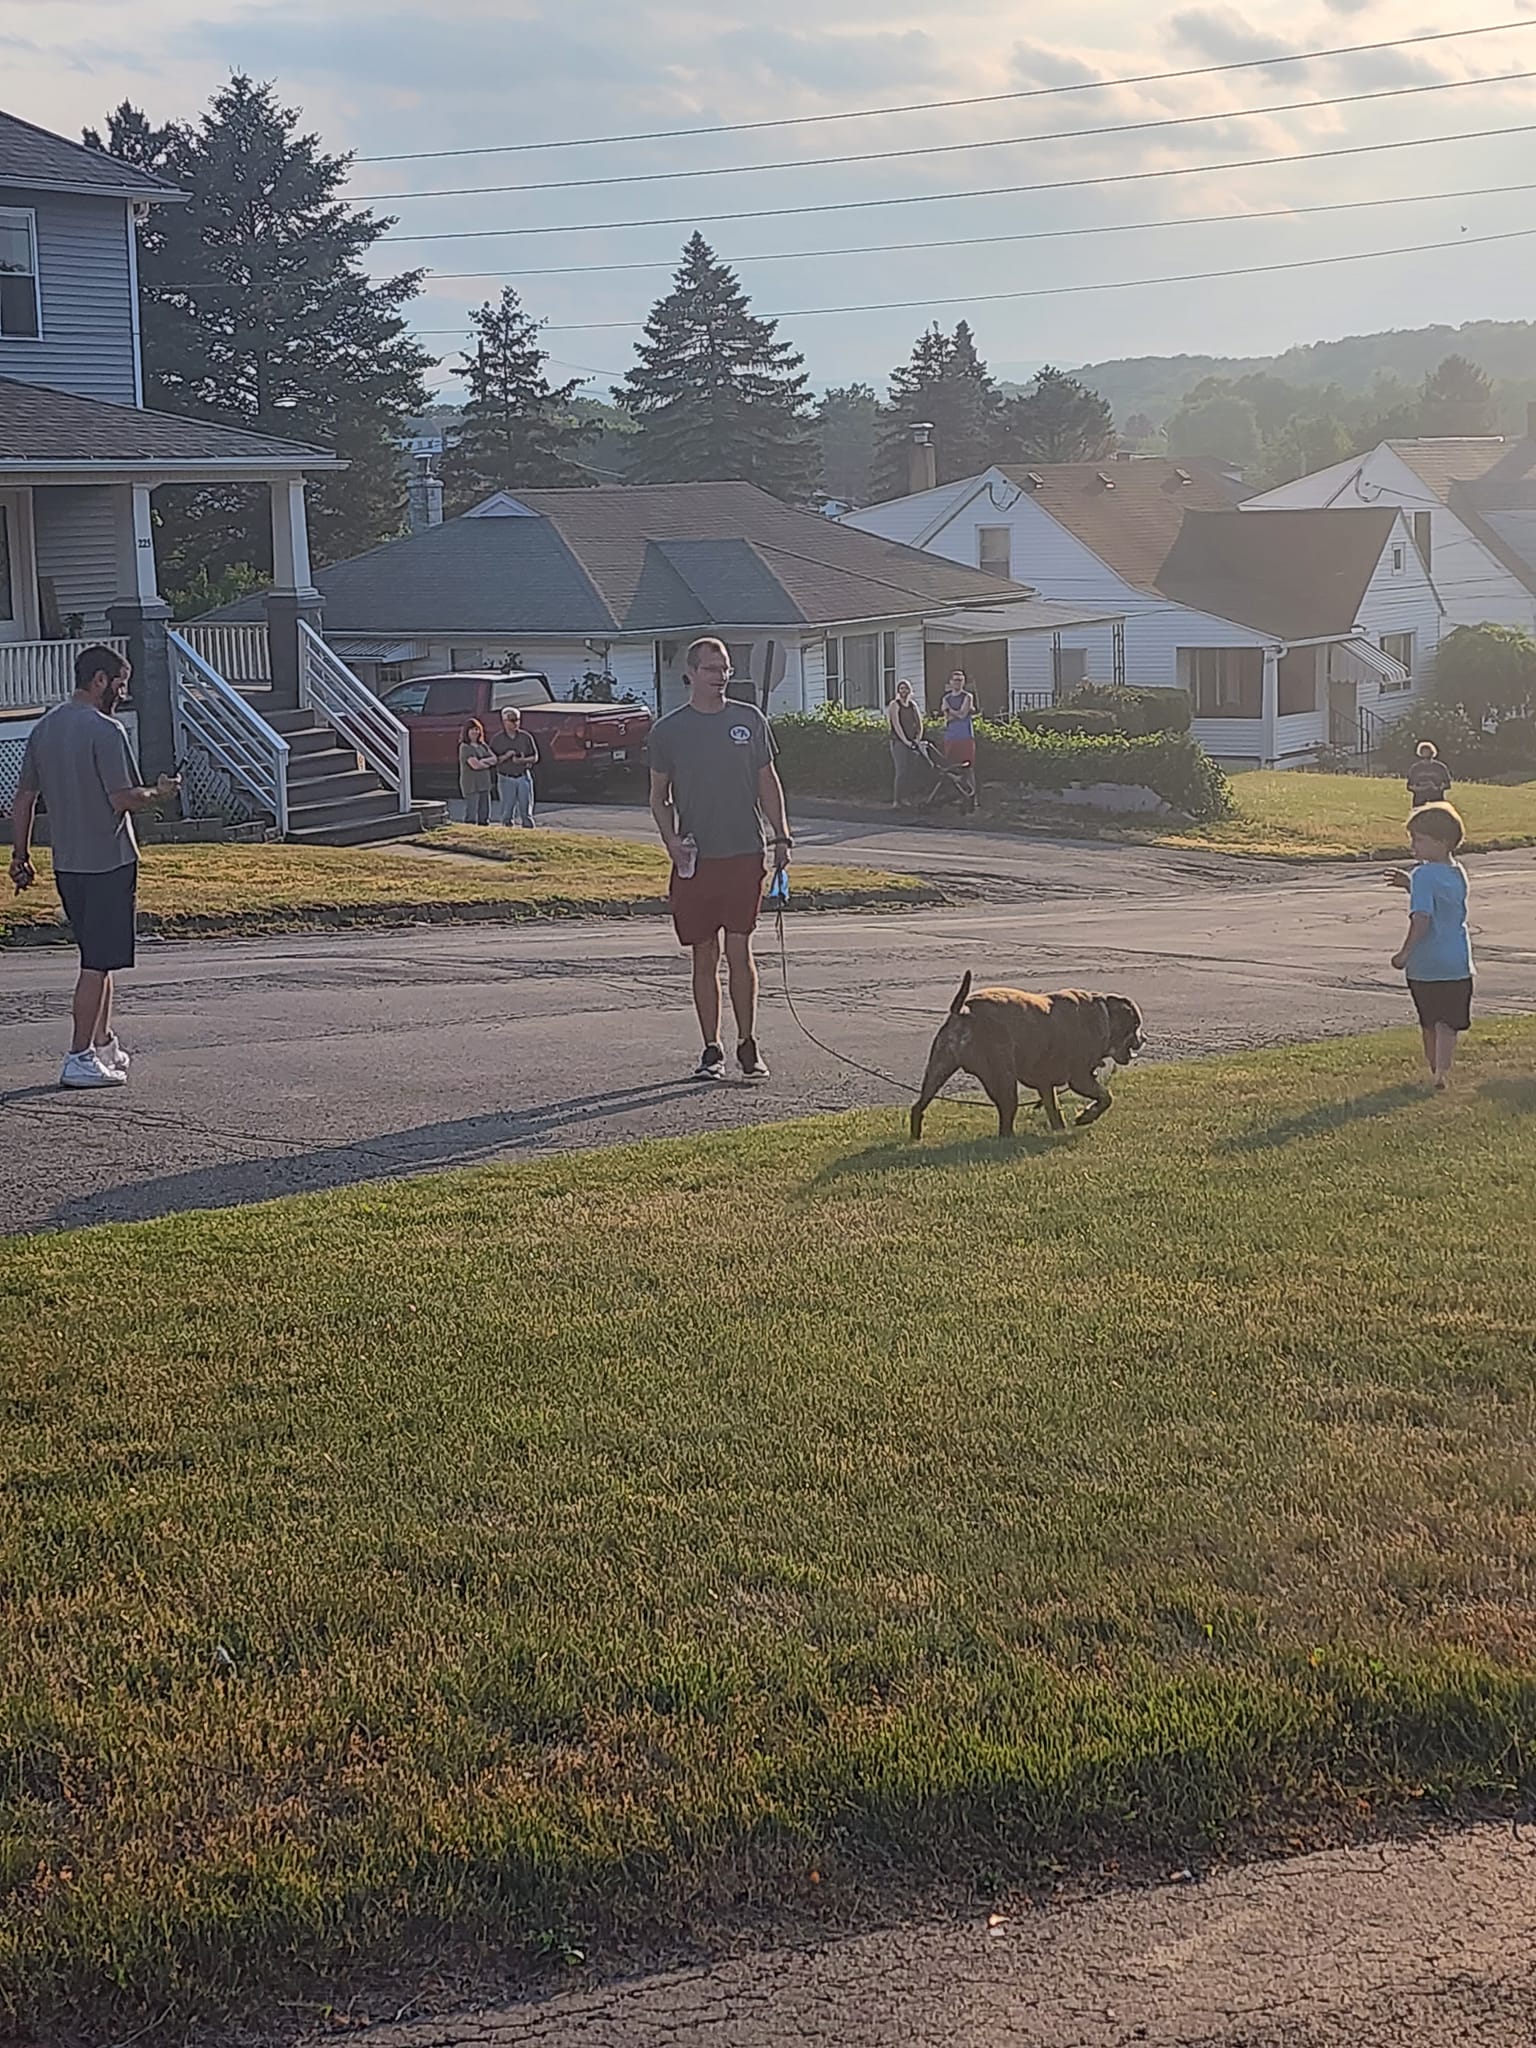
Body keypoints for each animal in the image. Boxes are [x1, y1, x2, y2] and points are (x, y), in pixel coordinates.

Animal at [913, 970, 1146, 1138]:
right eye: (1136, 1024)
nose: (1144, 1039)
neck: (1105, 1015)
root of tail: (964, 1012)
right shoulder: (1079, 1078)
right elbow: (1106, 1097)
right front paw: (1086, 1117)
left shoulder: (1045, 1083)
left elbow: (1054, 1109)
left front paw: (1060, 1129)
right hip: (1002, 1076)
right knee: (1007, 1113)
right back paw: (1008, 1139)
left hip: (938, 1068)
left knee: (919, 1105)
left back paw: (916, 1137)